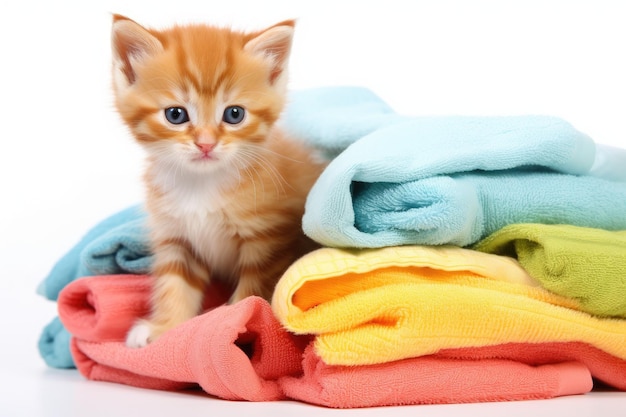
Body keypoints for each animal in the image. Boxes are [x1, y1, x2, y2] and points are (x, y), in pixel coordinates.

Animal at [111, 14, 324, 346]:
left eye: (234, 114)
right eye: (175, 115)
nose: (206, 144)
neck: (201, 184)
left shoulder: (268, 238)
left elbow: (252, 294)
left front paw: (235, 323)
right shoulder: (177, 238)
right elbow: (175, 286)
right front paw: (165, 329)